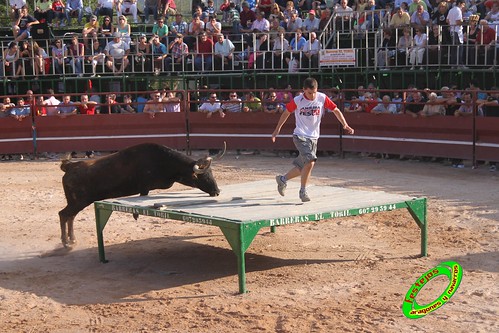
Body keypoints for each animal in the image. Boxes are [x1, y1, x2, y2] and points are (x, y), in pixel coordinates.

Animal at [58, 143, 225, 246]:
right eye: (203, 177)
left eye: (212, 173)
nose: (217, 191)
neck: (164, 161)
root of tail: (69, 166)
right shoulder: (144, 188)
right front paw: (135, 215)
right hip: (78, 202)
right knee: (63, 214)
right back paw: (66, 243)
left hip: (76, 202)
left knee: (69, 216)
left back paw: (72, 240)